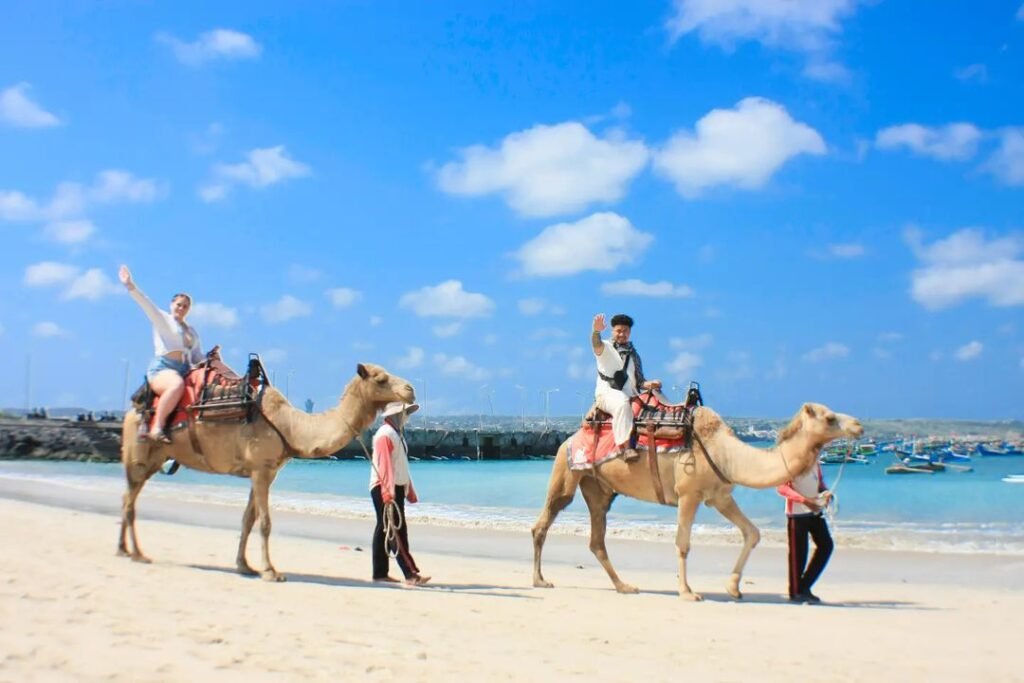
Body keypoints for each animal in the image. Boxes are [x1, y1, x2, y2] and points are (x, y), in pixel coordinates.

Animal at [116, 362, 411, 581]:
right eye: (381, 379)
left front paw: (245, 566)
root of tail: (131, 410)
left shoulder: (262, 472)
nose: (410, 389)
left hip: (154, 460)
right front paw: (271, 571)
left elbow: (248, 519)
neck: (290, 426)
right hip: (138, 456)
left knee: (127, 498)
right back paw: (138, 554)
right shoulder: (261, 469)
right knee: (130, 502)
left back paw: (123, 550)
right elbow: (266, 522)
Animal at [536, 403, 864, 602]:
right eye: (829, 418)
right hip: (566, 472)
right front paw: (687, 592)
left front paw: (733, 588)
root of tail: (569, 438)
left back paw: (624, 586)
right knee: (543, 524)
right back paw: (540, 581)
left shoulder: (719, 496)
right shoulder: (689, 494)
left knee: (597, 539)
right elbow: (683, 543)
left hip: (599, 490)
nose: (859, 425)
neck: (728, 454)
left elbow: (752, 532)